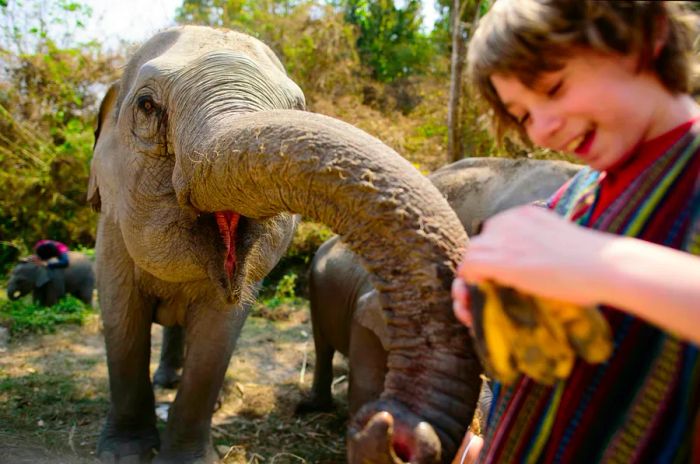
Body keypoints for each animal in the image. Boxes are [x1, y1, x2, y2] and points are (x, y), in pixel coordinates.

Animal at [86, 25, 482, 464]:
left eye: (299, 106)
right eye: (147, 105)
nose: (396, 430)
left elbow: (217, 335)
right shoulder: (110, 230)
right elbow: (121, 318)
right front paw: (124, 454)